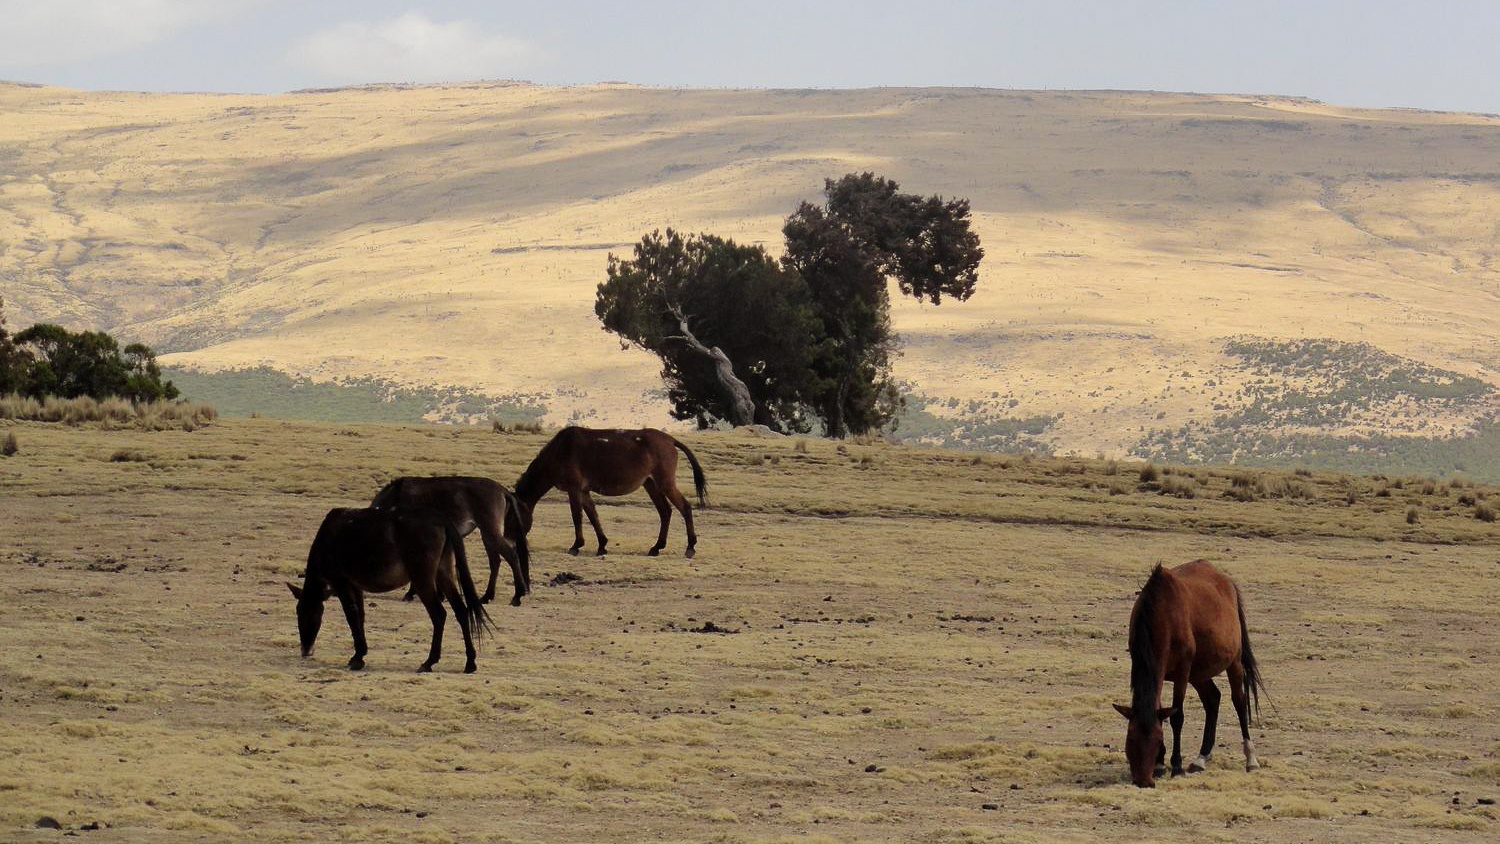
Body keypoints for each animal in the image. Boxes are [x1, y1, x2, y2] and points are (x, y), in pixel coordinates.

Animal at [292, 509, 498, 674]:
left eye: (308, 615)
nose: (305, 650)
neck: (327, 539)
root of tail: (440, 520)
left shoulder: (341, 582)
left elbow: (351, 615)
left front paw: (357, 658)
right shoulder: (355, 585)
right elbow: (360, 615)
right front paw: (360, 654)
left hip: (423, 578)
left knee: (439, 615)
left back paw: (429, 662)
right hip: (444, 572)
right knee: (461, 611)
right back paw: (470, 662)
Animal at [373, 476, 534, 608]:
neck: (397, 498)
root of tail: (502, 490)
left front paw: (412, 593)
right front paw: (440, 595)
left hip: (490, 531)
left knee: (511, 556)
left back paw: (517, 596)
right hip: (486, 534)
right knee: (495, 561)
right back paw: (487, 597)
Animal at [513, 425, 705, 557]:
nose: (517, 544)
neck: (559, 451)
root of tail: (670, 440)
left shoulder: (574, 489)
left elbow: (577, 516)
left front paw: (576, 546)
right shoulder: (583, 491)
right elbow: (593, 516)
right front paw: (602, 545)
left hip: (665, 483)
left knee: (685, 508)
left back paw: (690, 547)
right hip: (651, 484)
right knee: (665, 512)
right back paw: (656, 547)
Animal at [1116, 560, 1266, 785]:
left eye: (1157, 739)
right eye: (1130, 738)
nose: (1143, 782)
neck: (1162, 612)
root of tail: (1227, 582)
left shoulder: (1182, 673)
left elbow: (1177, 717)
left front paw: (1176, 766)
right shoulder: (1149, 668)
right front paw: (1160, 765)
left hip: (1233, 662)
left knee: (1239, 701)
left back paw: (1251, 759)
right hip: (1199, 673)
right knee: (1213, 699)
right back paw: (1201, 758)